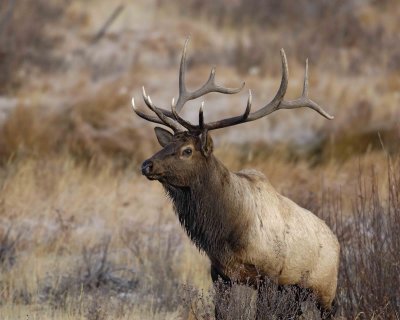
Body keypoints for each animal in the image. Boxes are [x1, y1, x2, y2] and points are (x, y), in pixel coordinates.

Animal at [130, 38, 338, 318]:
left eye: (187, 150)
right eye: (168, 143)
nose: (147, 164)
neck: (226, 233)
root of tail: (337, 242)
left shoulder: (269, 275)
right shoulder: (220, 274)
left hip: (325, 289)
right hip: (295, 290)